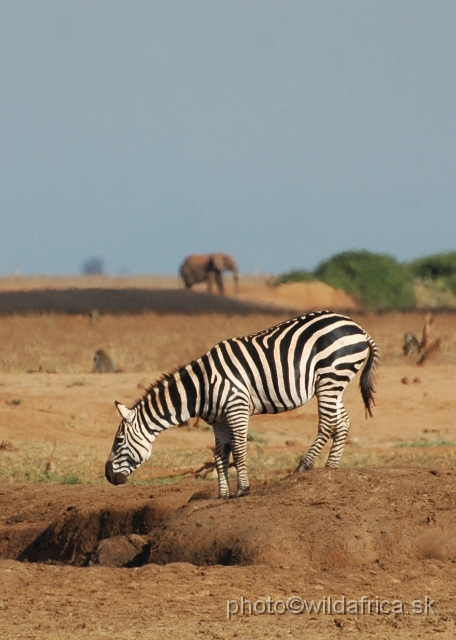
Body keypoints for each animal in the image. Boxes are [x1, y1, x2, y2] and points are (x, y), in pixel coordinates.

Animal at [106, 312, 378, 500]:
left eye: (118, 441)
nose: (107, 475)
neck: (201, 388)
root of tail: (358, 327)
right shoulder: (218, 421)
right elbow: (220, 454)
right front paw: (223, 494)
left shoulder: (236, 408)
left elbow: (238, 449)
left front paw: (242, 490)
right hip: (333, 383)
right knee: (343, 422)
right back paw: (330, 469)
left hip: (331, 376)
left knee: (328, 424)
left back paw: (304, 466)